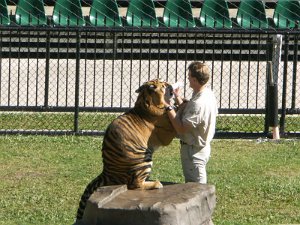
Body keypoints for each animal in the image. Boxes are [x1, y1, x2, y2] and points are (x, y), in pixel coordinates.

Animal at [76, 79, 177, 221]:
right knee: (135, 184)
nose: (171, 85)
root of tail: (107, 172)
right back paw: (156, 184)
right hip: (144, 158)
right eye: (163, 84)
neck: (145, 101)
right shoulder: (165, 133)